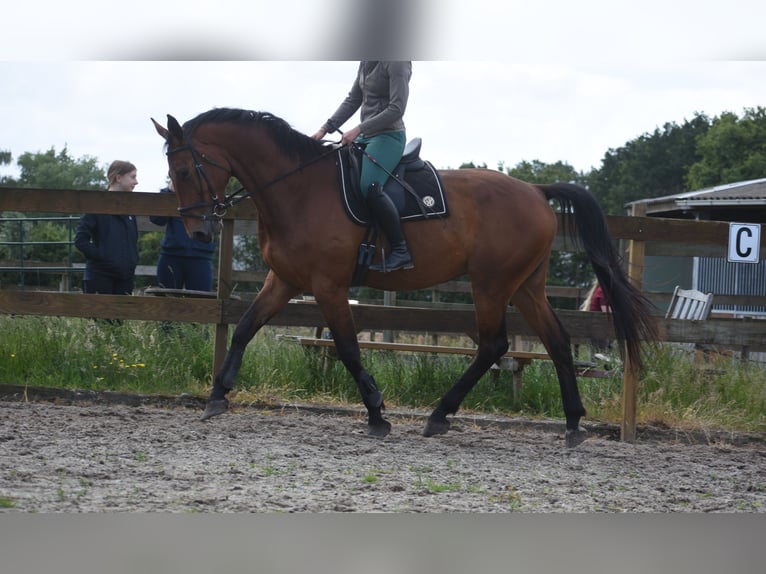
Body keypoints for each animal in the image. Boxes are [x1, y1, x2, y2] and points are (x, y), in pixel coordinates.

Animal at [152, 108, 657, 448]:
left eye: (185, 169)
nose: (199, 231)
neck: (297, 189)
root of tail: (536, 190)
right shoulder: (285, 280)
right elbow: (242, 328)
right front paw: (217, 395)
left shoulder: (328, 286)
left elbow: (349, 348)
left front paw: (377, 415)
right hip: (525, 287)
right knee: (555, 341)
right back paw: (572, 424)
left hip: (491, 285)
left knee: (494, 345)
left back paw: (440, 414)